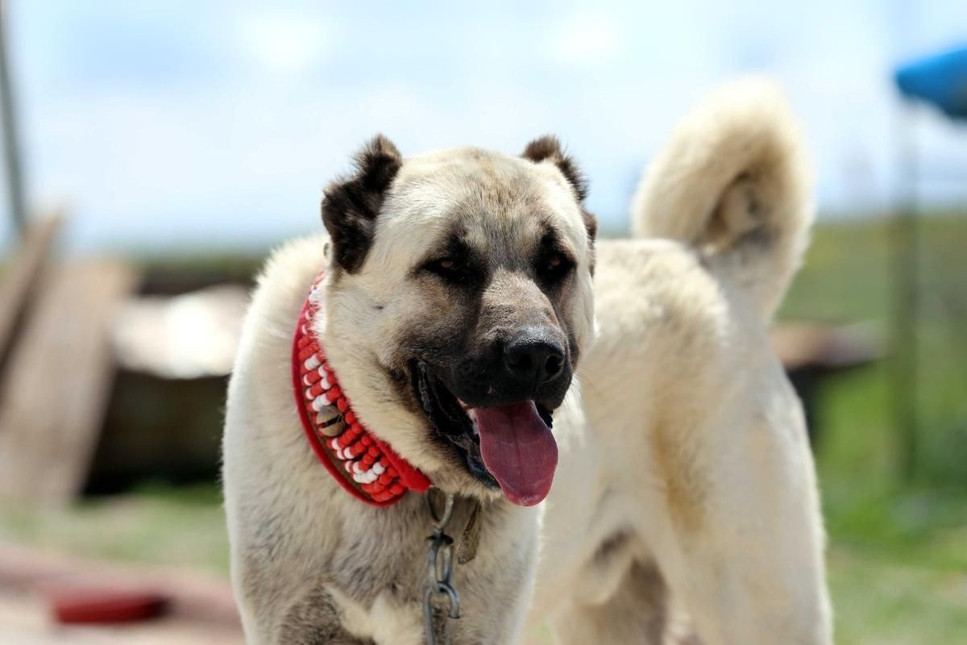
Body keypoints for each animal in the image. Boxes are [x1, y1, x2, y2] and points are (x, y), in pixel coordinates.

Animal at [225, 80, 832, 644]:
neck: (411, 482)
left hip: (760, 601)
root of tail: (714, 269)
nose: (538, 355)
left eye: (556, 263)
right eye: (448, 264)